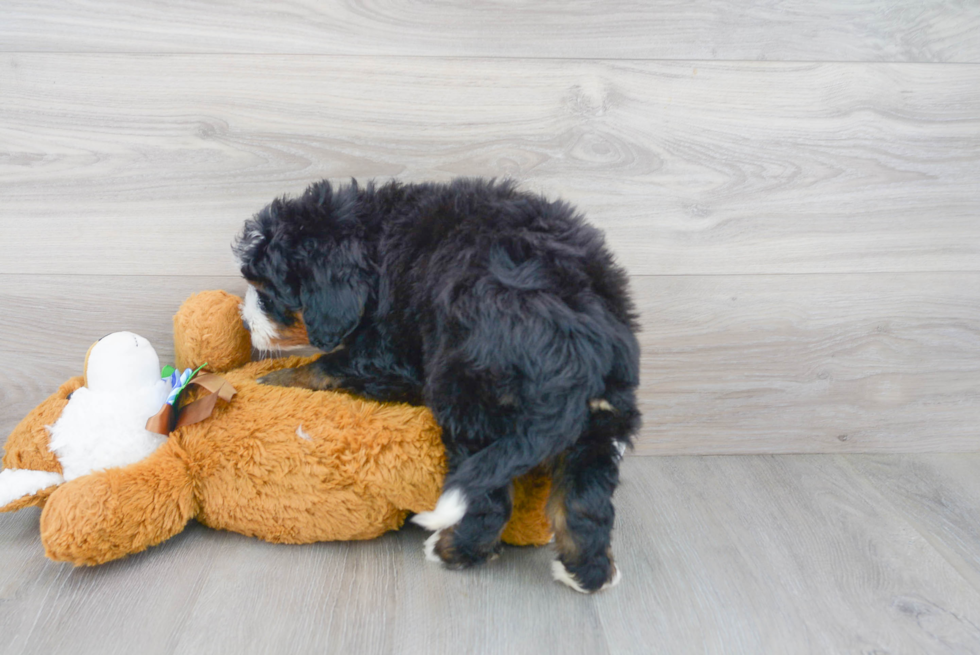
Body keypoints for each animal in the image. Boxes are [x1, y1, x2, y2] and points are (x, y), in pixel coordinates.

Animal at [234, 179, 640, 596]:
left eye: (268, 292)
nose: (245, 324)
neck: (376, 241)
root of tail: (573, 347)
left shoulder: (391, 355)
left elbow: (326, 365)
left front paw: (274, 379)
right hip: (601, 419)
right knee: (585, 502)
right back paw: (587, 574)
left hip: (467, 400)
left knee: (490, 501)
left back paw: (450, 551)